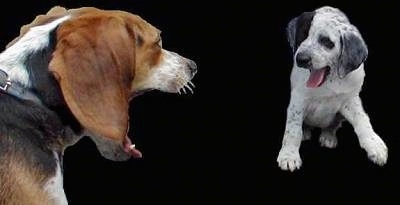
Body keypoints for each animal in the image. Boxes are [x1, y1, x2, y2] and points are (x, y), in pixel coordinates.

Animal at [276, 6, 386, 171]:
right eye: (303, 35)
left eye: (326, 42)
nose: (300, 59)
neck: (329, 82)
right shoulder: (298, 101)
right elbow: (293, 129)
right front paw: (289, 155)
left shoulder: (350, 100)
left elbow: (363, 120)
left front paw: (376, 145)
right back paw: (306, 133)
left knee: (333, 125)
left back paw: (328, 137)